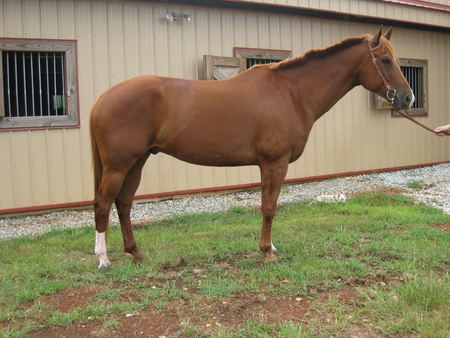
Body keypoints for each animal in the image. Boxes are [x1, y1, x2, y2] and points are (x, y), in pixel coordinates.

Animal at [89, 27, 414, 268]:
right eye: (385, 60)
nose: (408, 98)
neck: (291, 93)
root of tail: (103, 98)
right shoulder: (274, 162)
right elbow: (269, 207)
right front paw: (267, 252)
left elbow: (269, 205)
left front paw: (270, 247)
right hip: (119, 165)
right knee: (103, 203)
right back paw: (103, 259)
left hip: (137, 162)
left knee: (124, 203)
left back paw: (135, 252)